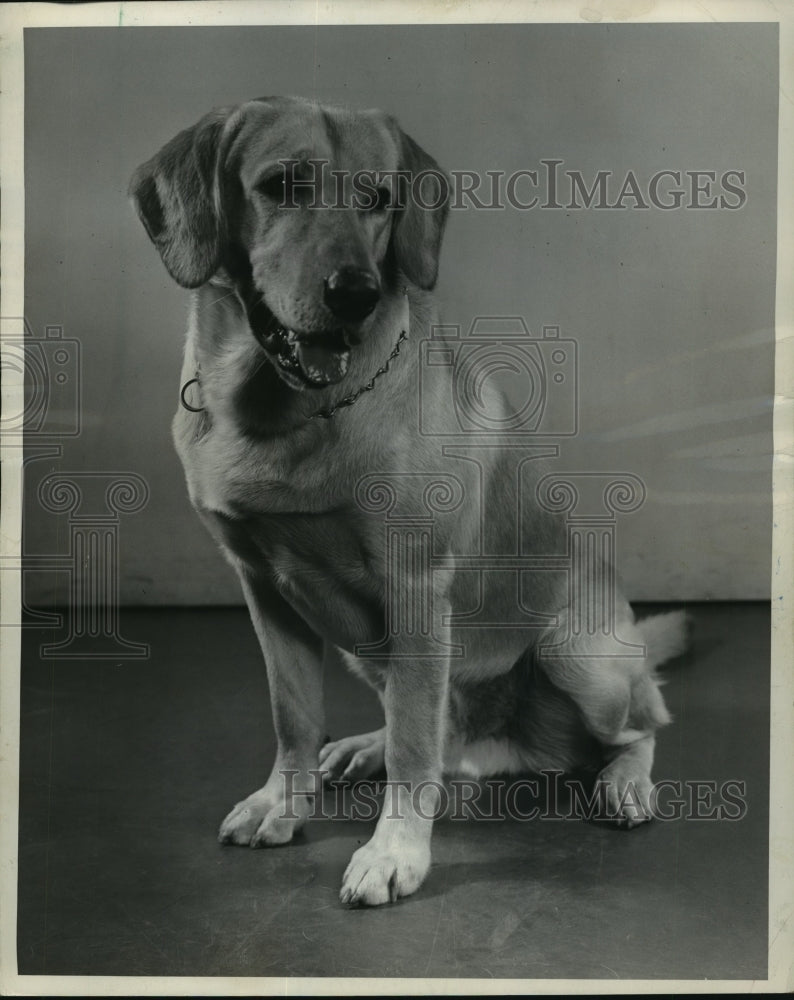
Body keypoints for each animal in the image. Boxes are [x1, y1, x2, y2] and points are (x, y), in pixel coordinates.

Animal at [131, 97, 688, 912]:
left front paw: (395, 851)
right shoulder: (264, 589)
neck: (285, 412)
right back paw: (364, 748)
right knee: (434, 729)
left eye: (379, 198)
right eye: (281, 186)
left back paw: (624, 784)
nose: (355, 295)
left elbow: (415, 751)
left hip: (575, 652)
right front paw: (282, 802)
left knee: (642, 722)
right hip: (368, 648)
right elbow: (294, 715)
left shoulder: (417, 588)